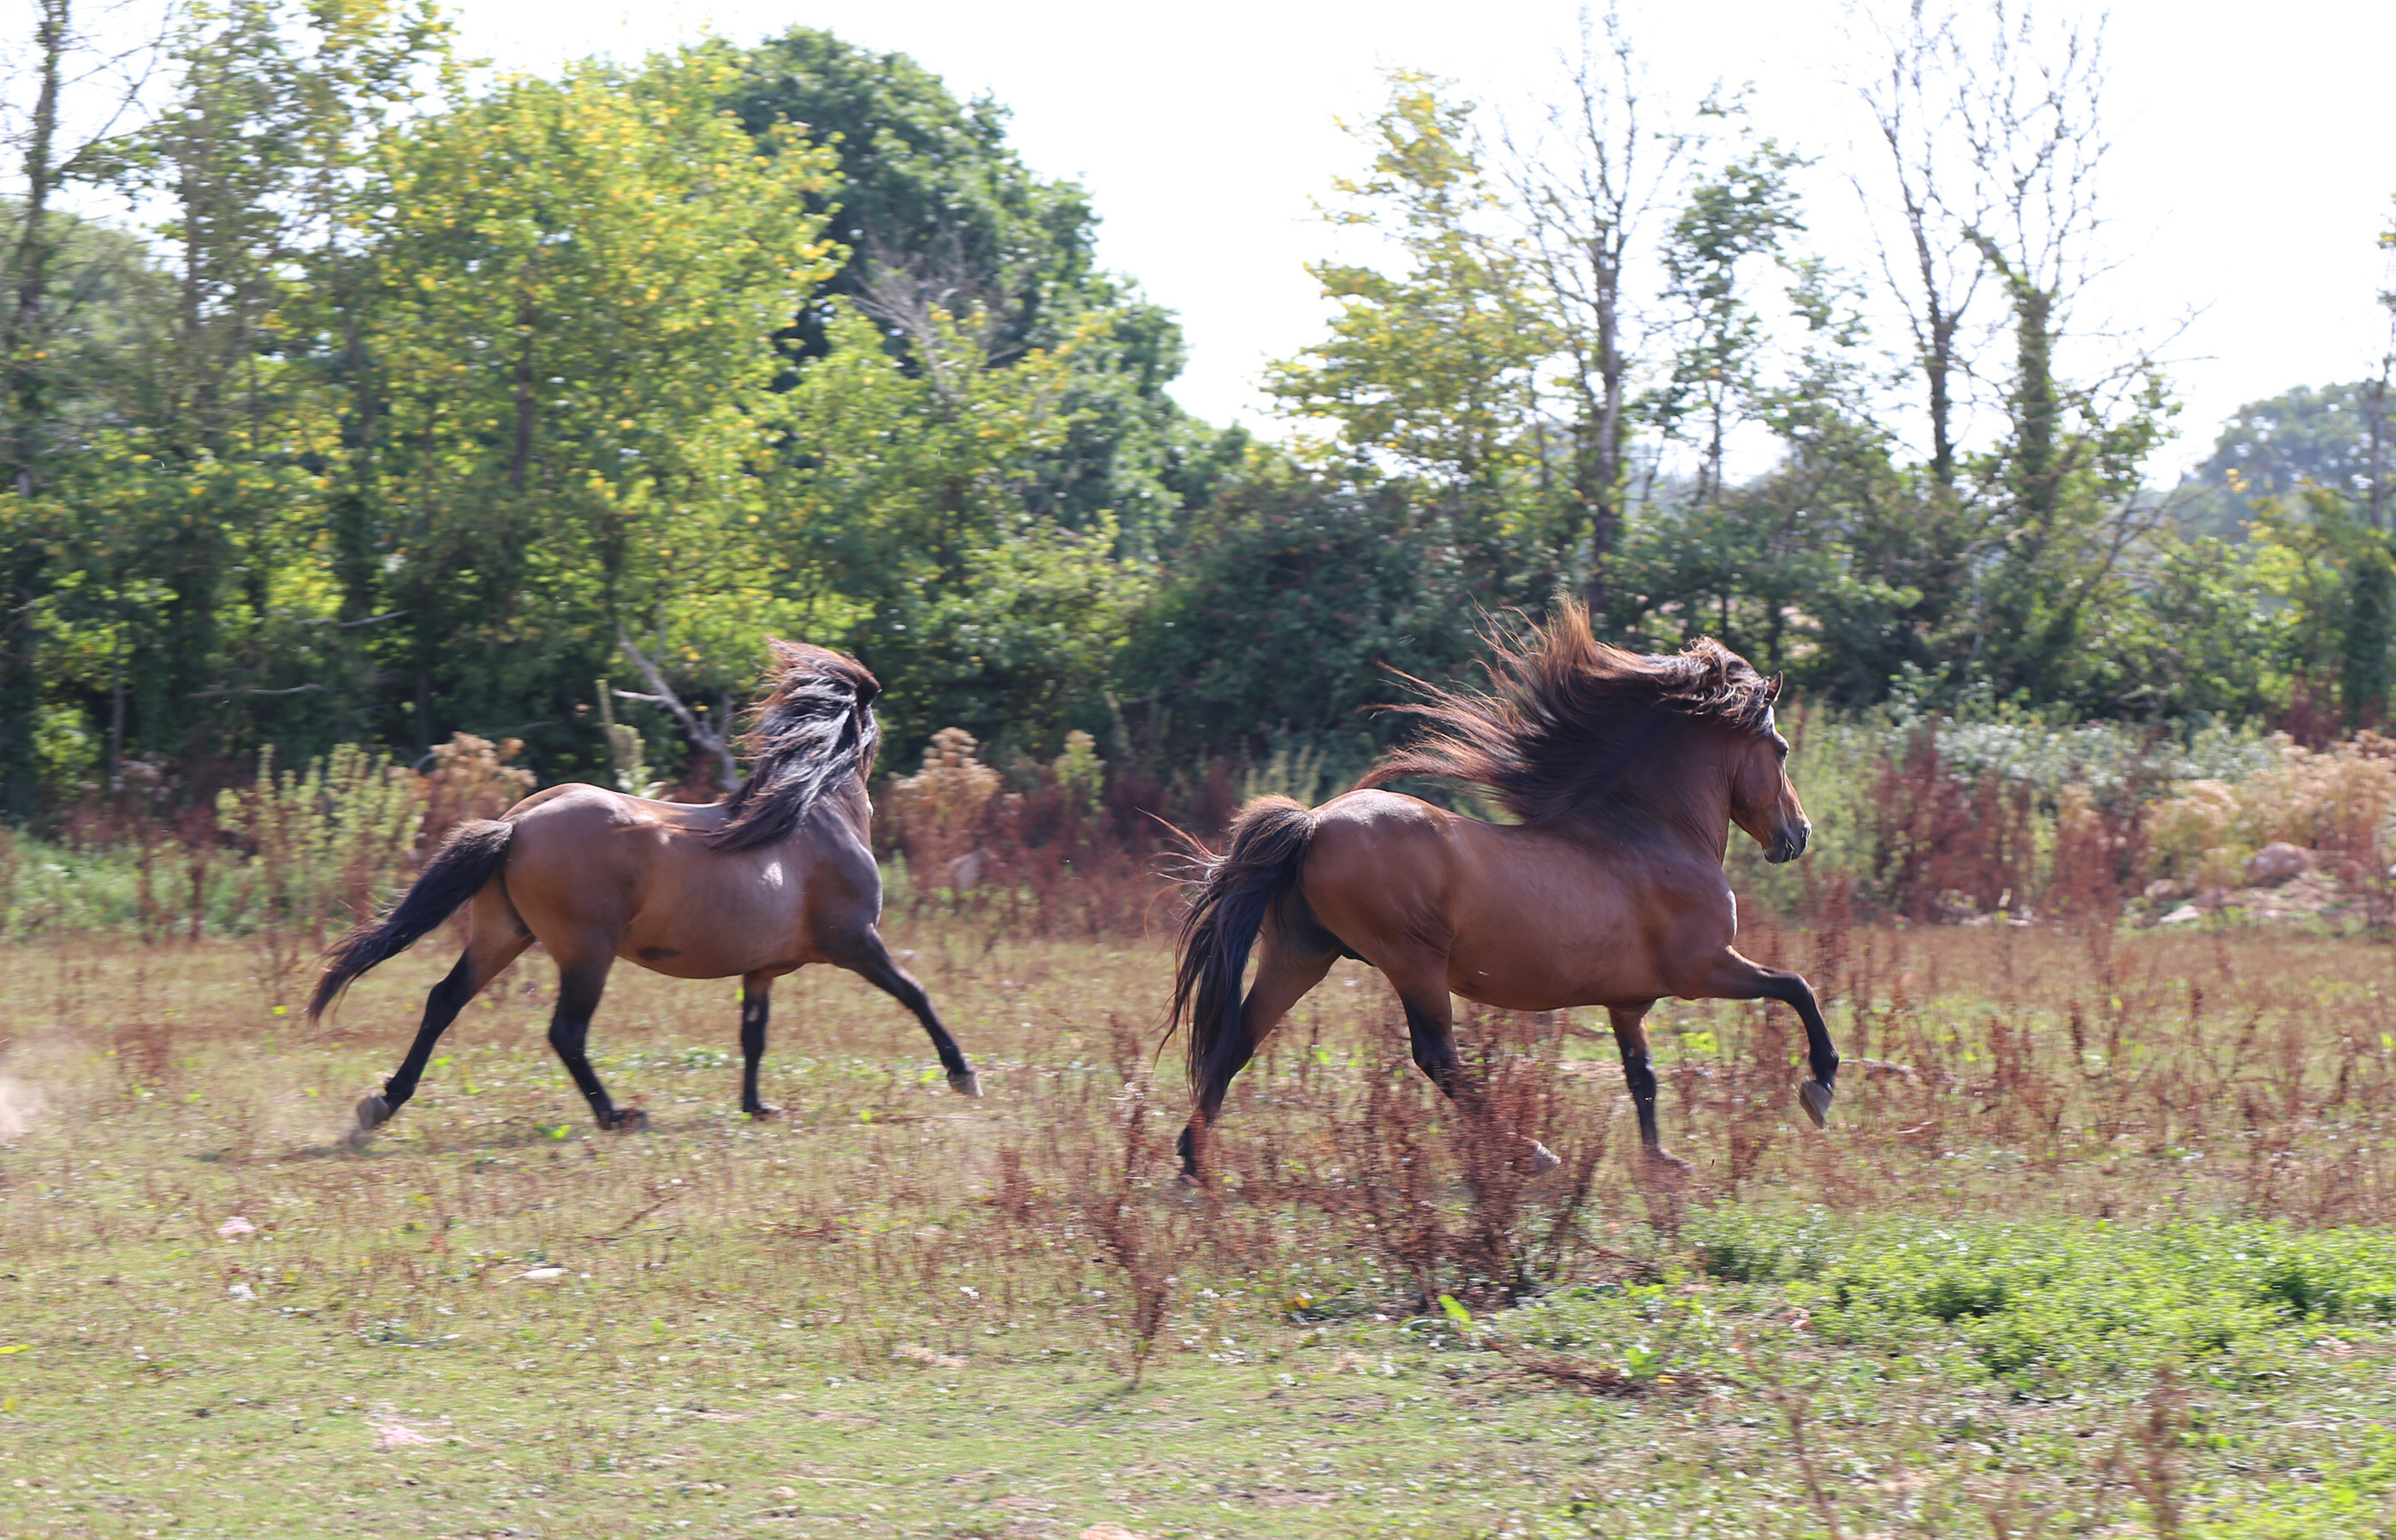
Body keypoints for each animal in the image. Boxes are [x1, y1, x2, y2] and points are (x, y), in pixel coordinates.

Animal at [309, 640, 980, 1138]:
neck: (814, 815)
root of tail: (517, 823)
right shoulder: (855, 941)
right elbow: (917, 994)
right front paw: (963, 1074)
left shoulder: (762, 969)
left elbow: (753, 1035)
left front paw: (756, 1107)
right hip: (586, 951)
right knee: (565, 1032)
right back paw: (617, 1115)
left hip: (503, 935)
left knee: (444, 1001)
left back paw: (383, 1103)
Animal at [1168, 603, 1836, 1179]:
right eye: (1780, 750)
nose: (1797, 834)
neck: (1651, 833)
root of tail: (1311, 824)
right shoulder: (1702, 970)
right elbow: (1795, 987)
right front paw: (1820, 1085)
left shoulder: (1628, 1002)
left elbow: (1642, 1076)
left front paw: (1662, 1164)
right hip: (1411, 963)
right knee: (1437, 1058)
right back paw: (1531, 1154)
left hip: (1301, 954)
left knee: (1237, 1042)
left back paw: (1194, 1165)